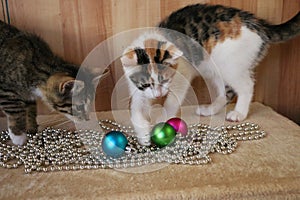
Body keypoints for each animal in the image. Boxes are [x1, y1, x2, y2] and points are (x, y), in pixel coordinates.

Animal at [121, 3, 300, 146]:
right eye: (145, 84)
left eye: (164, 80)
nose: (158, 95)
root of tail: (257, 24)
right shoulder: (139, 90)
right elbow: (136, 110)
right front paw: (143, 134)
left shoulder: (182, 74)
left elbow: (172, 101)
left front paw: (161, 122)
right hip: (214, 68)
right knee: (225, 92)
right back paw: (211, 110)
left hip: (230, 65)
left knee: (246, 86)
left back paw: (239, 113)